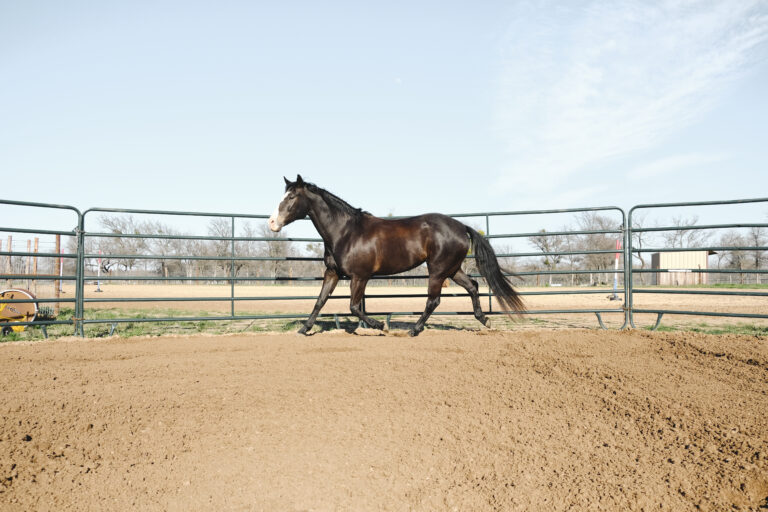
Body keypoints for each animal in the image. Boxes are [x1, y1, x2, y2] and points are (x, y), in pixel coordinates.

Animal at [268, 175, 525, 336]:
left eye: (291, 197)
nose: (272, 223)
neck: (346, 232)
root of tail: (462, 227)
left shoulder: (360, 277)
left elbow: (354, 307)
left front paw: (382, 325)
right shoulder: (332, 273)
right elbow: (320, 301)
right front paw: (304, 329)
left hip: (437, 271)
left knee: (433, 300)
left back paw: (414, 330)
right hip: (452, 269)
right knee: (472, 286)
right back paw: (485, 320)